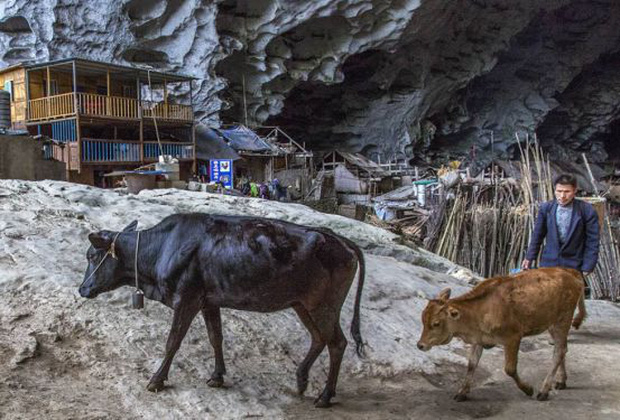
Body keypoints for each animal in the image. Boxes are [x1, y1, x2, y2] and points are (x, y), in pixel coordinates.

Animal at [80, 213, 366, 406]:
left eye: (92, 256)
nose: (82, 289)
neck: (162, 248)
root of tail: (340, 239)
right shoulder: (209, 302)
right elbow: (215, 337)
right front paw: (217, 376)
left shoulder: (187, 299)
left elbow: (173, 342)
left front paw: (156, 380)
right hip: (303, 305)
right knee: (319, 338)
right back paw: (301, 379)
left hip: (323, 305)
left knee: (337, 343)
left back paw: (325, 396)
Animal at [416, 268, 588, 402]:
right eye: (423, 319)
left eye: (436, 323)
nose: (420, 345)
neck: (481, 309)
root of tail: (571, 273)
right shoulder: (479, 340)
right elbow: (471, 365)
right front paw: (462, 393)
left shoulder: (513, 338)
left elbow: (510, 369)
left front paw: (528, 389)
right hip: (552, 325)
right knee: (563, 349)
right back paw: (561, 382)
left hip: (561, 322)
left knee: (559, 352)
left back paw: (543, 391)